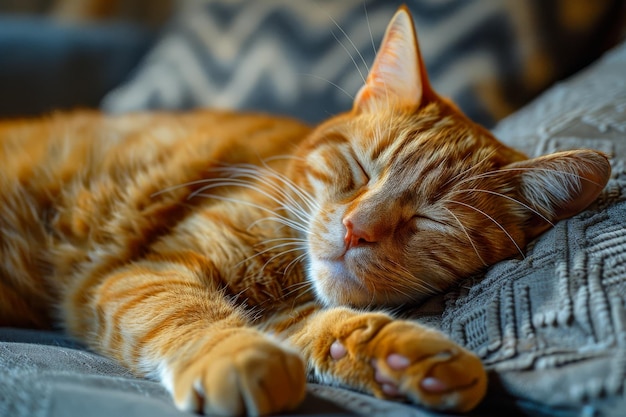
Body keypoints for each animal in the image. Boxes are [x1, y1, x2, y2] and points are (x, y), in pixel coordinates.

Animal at [0, 5, 608, 416]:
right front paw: (237, 354)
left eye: (430, 219)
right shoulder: (146, 272)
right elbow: (189, 315)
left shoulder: (285, 315)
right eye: (361, 170)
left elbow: (331, 326)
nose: (356, 229)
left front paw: (402, 356)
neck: (289, 274)